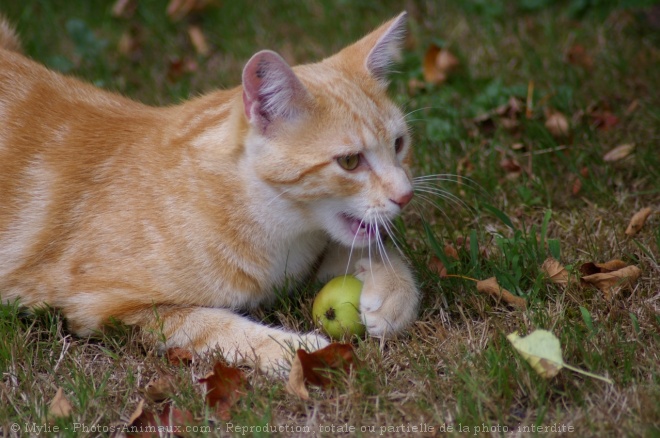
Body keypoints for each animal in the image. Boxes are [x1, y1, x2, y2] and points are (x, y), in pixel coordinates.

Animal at [0, 11, 420, 372]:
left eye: (398, 143)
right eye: (349, 161)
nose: (405, 195)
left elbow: (372, 245)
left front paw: (393, 291)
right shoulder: (103, 306)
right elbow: (216, 326)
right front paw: (301, 348)